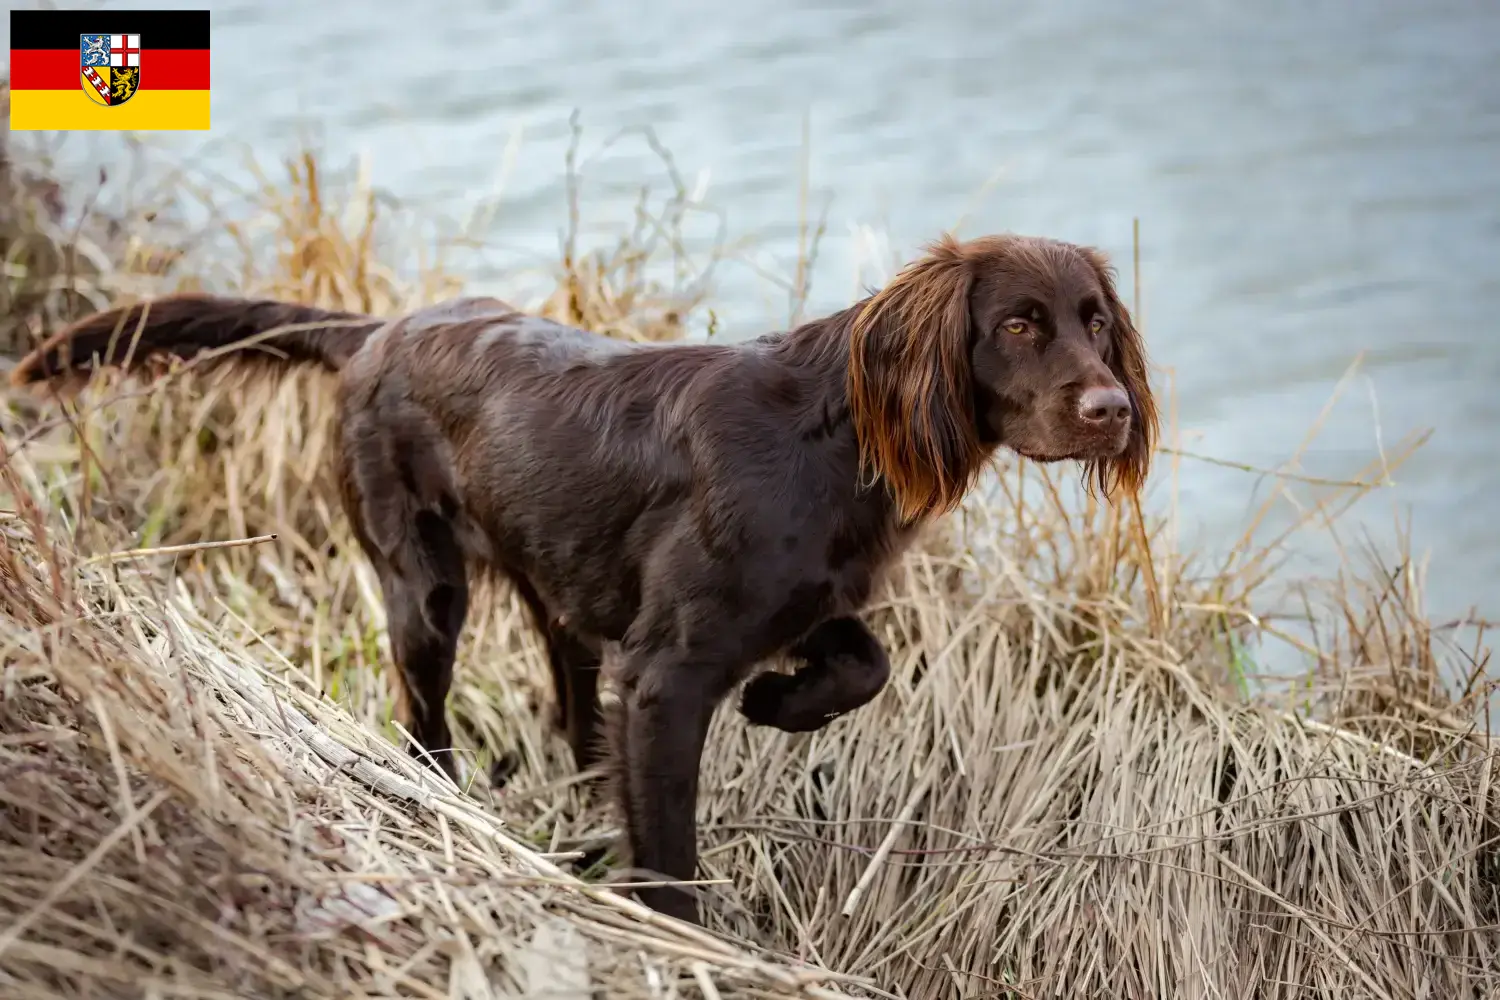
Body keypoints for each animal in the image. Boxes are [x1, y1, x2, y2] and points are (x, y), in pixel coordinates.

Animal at [8, 232, 1158, 923]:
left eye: (1096, 319)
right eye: (1017, 323)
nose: (1112, 409)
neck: (830, 437)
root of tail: (381, 328)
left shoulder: (800, 603)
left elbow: (863, 663)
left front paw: (780, 702)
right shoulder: (665, 675)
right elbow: (672, 850)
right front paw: (692, 941)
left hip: (554, 588)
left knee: (567, 706)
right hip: (423, 586)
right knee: (422, 717)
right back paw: (450, 795)